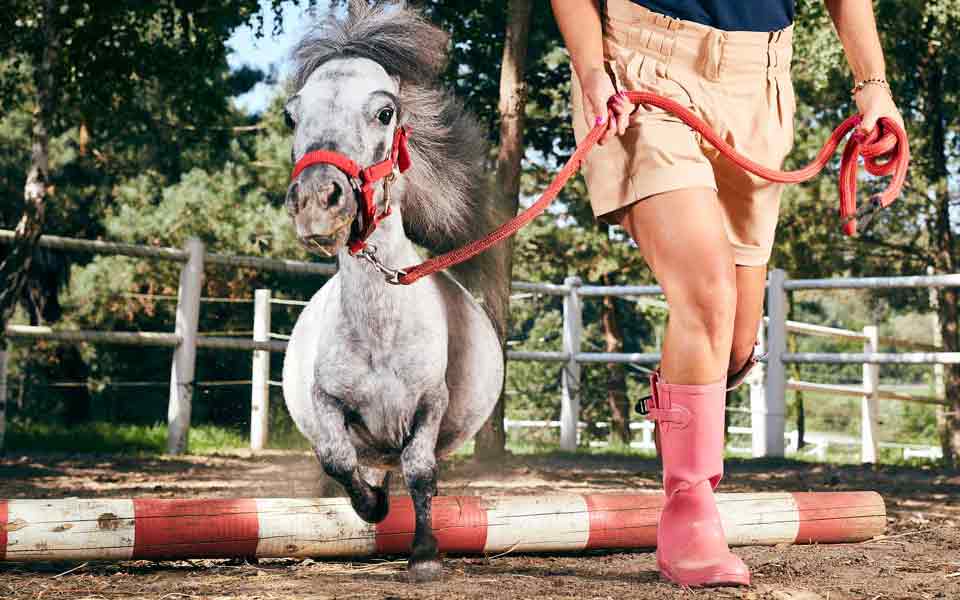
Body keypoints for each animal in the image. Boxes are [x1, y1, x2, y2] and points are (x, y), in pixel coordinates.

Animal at [282, 0, 512, 580]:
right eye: (292, 116)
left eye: (385, 113)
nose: (317, 201)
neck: (380, 331)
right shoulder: (328, 403)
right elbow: (338, 460)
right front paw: (373, 507)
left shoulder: (430, 405)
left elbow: (421, 470)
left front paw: (425, 554)